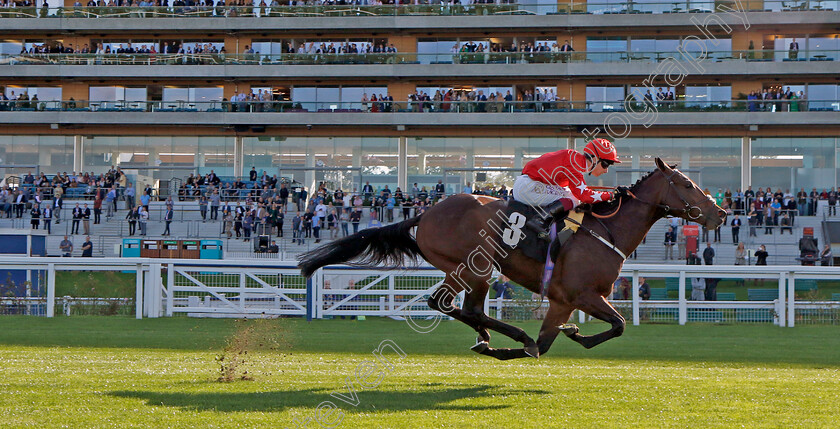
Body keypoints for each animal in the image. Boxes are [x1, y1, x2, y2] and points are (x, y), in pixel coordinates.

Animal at [298, 157, 724, 358]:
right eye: (687, 184)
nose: (719, 213)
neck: (606, 231)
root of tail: (426, 213)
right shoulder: (580, 296)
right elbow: (616, 325)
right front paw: (541, 341)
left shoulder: (563, 302)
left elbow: (561, 339)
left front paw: (569, 334)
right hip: (475, 266)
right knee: (456, 304)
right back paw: (505, 336)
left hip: (468, 270)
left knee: (454, 306)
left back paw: (487, 338)